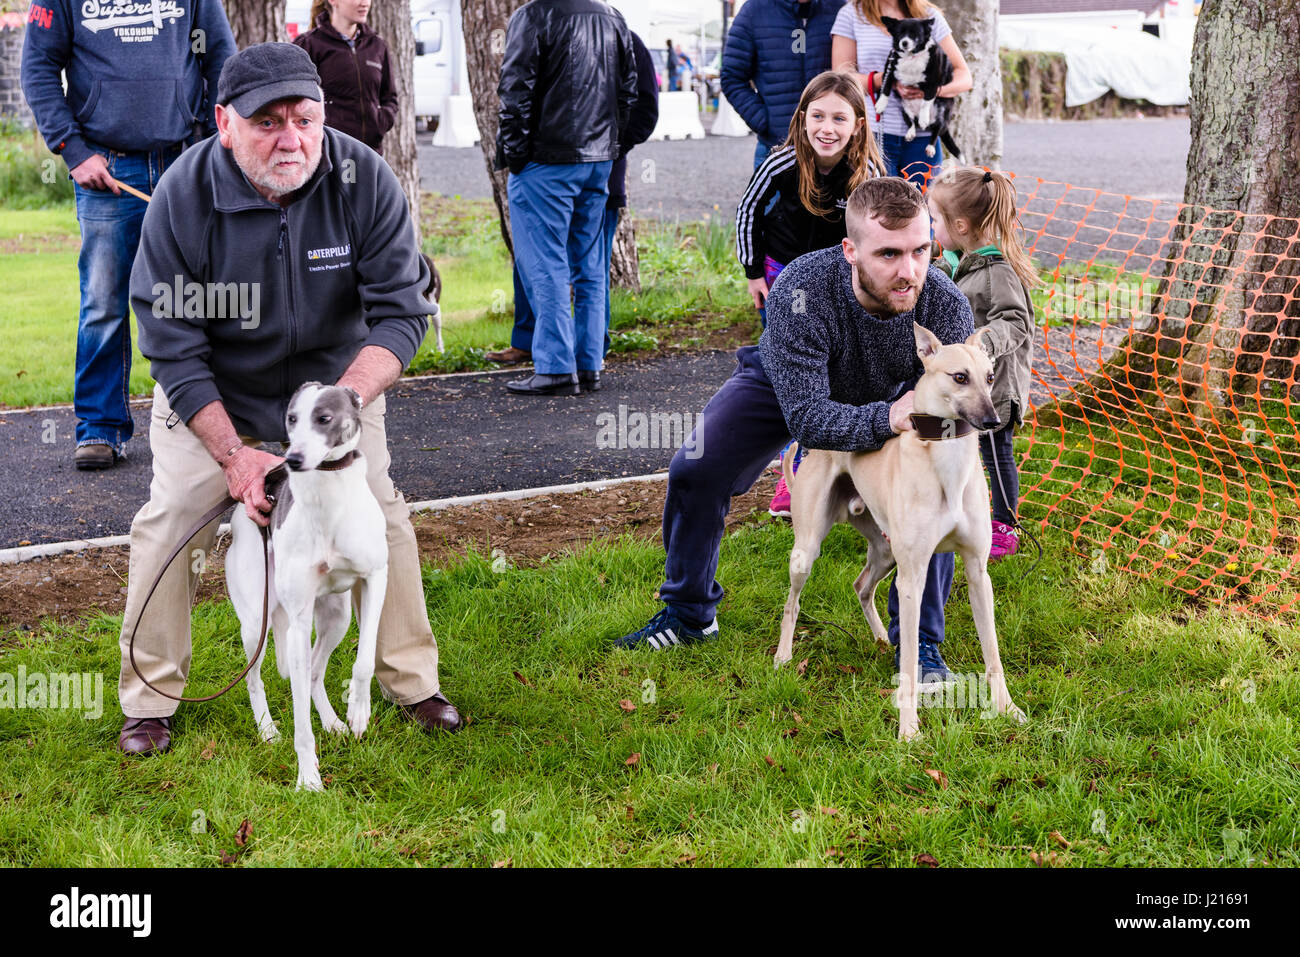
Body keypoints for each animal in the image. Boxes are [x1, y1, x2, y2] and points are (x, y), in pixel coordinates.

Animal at [878, 15, 961, 162]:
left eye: (914, 34)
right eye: (899, 33)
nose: (904, 43)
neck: (911, 56)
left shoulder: (933, 84)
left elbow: (925, 102)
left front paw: (923, 118)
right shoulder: (889, 69)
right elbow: (885, 88)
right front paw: (880, 104)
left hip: (943, 113)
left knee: (937, 130)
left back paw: (930, 145)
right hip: (904, 110)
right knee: (911, 123)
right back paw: (911, 132)